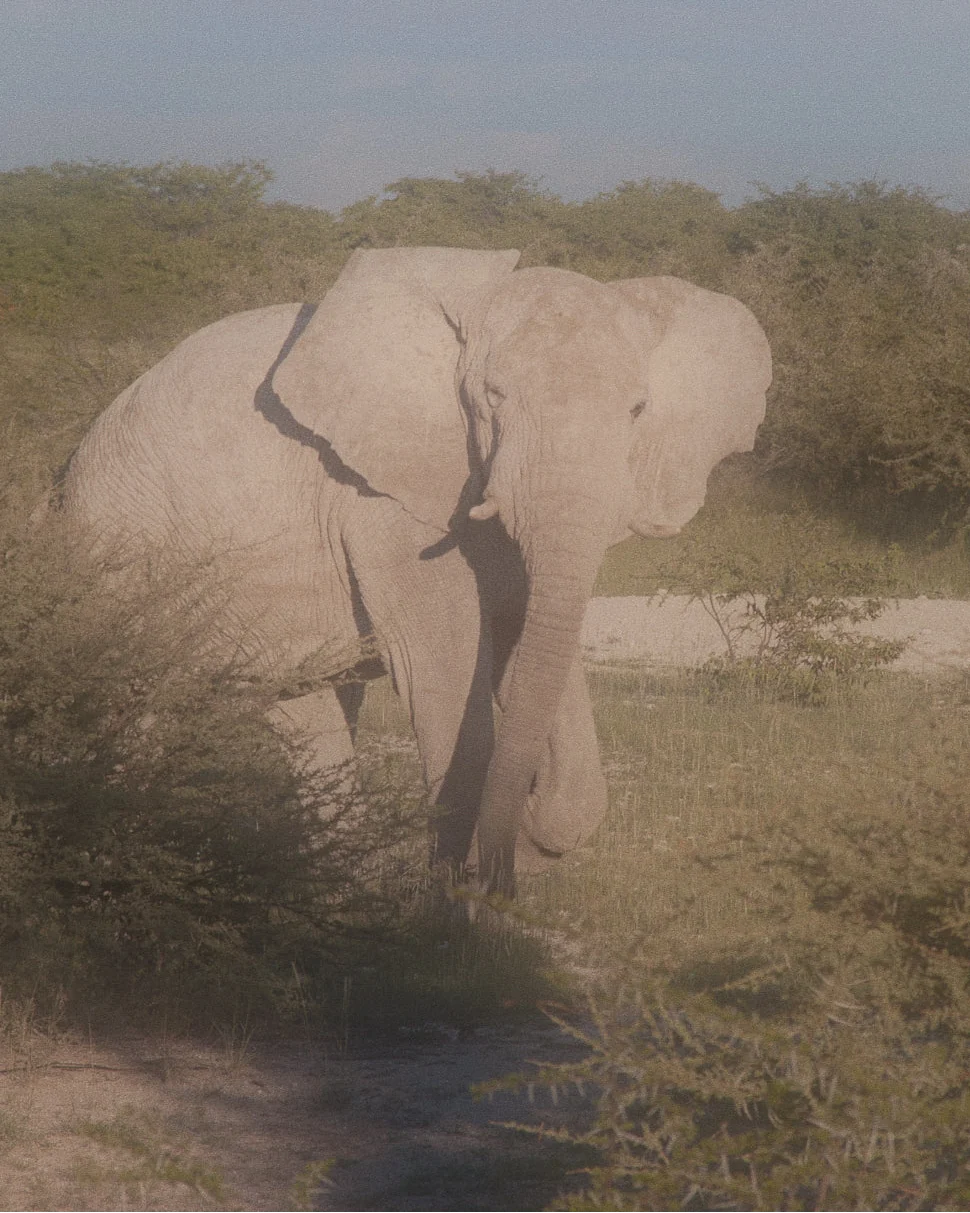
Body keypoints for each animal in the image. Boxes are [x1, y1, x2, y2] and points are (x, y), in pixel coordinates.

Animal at [62, 246, 771, 897]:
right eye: (492, 396)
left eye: (638, 409)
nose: (506, 873)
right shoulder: (384, 503)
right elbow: (446, 679)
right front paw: (455, 913)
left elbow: (527, 649)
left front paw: (525, 842)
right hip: (117, 554)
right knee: (137, 707)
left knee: (308, 715)